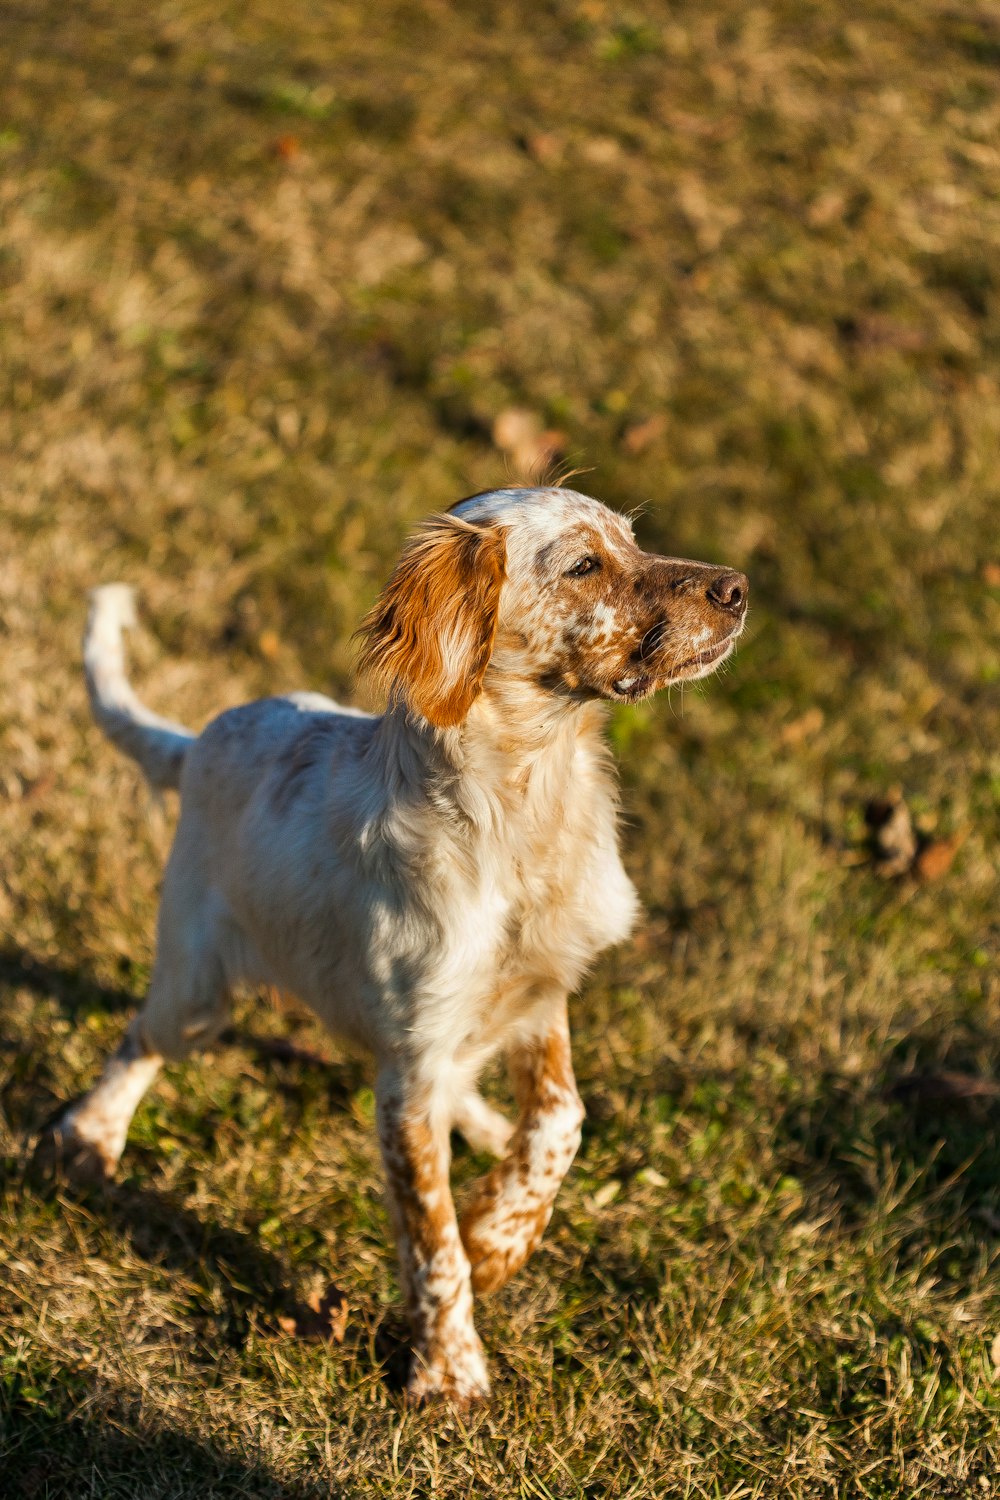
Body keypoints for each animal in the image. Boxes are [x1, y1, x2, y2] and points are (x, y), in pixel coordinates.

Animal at [50, 486, 746, 1398]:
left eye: (633, 541)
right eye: (585, 565)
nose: (737, 589)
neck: (526, 811)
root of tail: (204, 738)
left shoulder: (539, 996)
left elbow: (561, 1121)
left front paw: (500, 1238)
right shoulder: (410, 1073)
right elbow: (431, 1240)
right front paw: (451, 1370)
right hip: (198, 989)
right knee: (140, 1038)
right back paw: (92, 1134)